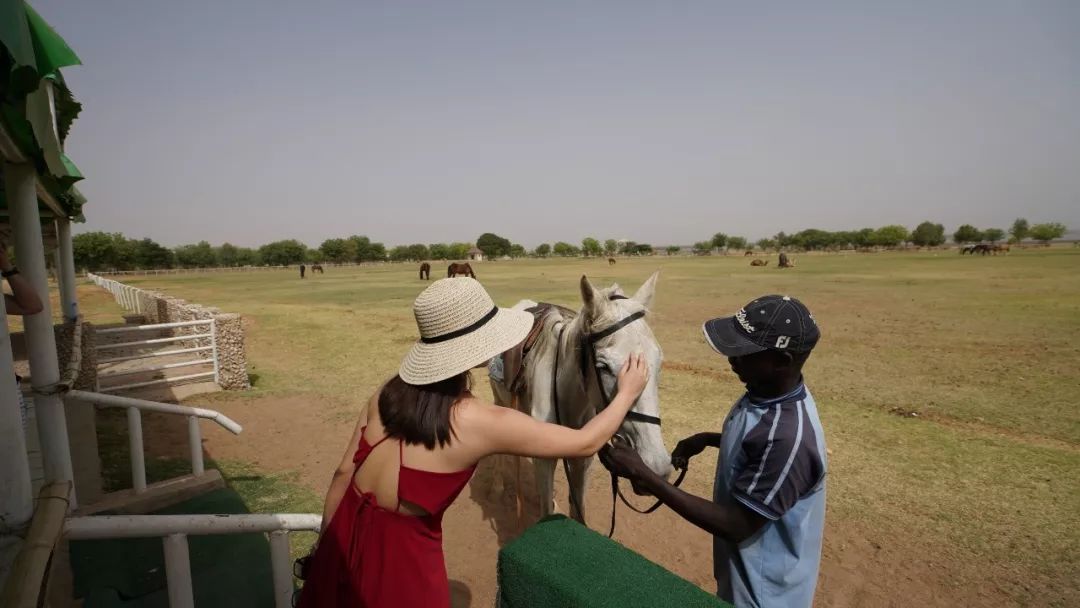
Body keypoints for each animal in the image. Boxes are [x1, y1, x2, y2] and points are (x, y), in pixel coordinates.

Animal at [492, 273, 673, 524]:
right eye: (603, 366)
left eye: (659, 361)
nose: (657, 466)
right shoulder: (544, 461)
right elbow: (545, 510)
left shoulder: (582, 459)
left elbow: (577, 512)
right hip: (499, 400)